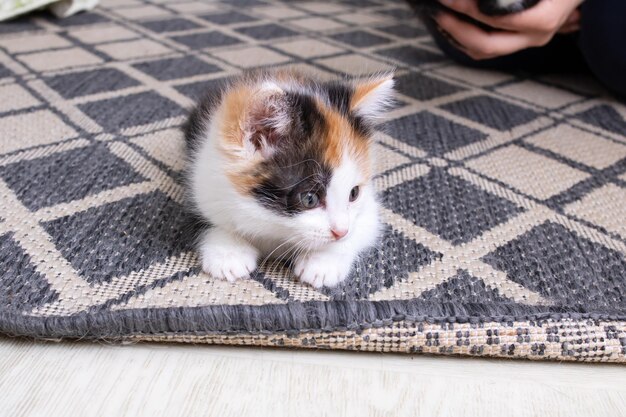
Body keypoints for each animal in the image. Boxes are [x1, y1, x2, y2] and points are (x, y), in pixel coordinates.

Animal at [183, 70, 392, 288]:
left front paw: (323, 262)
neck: (276, 228)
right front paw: (229, 253)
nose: (341, 232)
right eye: (309, 198)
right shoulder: (204, 181)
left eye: (354, 193)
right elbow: (208, 220)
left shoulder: (369, 211)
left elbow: (364, 226)